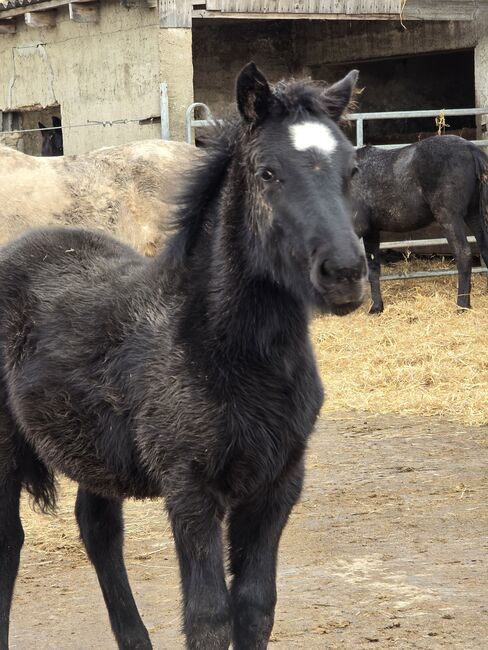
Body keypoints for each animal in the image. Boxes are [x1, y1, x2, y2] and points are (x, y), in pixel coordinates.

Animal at [0, 62, 366, 648]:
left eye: (351, 168)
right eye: (267, 172)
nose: (345, 273)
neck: (228, 354)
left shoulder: (277, 485)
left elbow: (256, 606)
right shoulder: (190, 489)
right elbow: (208, 615)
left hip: (92, 449)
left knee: (98, 528)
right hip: (5, 445)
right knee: (9, 542)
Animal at [352, 134, 488, 312]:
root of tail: (470, 148)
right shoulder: (371, 230)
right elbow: (373, 267)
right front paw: (376, 308)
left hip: (450, 216)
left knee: (463, 254)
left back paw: (462, 305)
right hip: (473, 214)